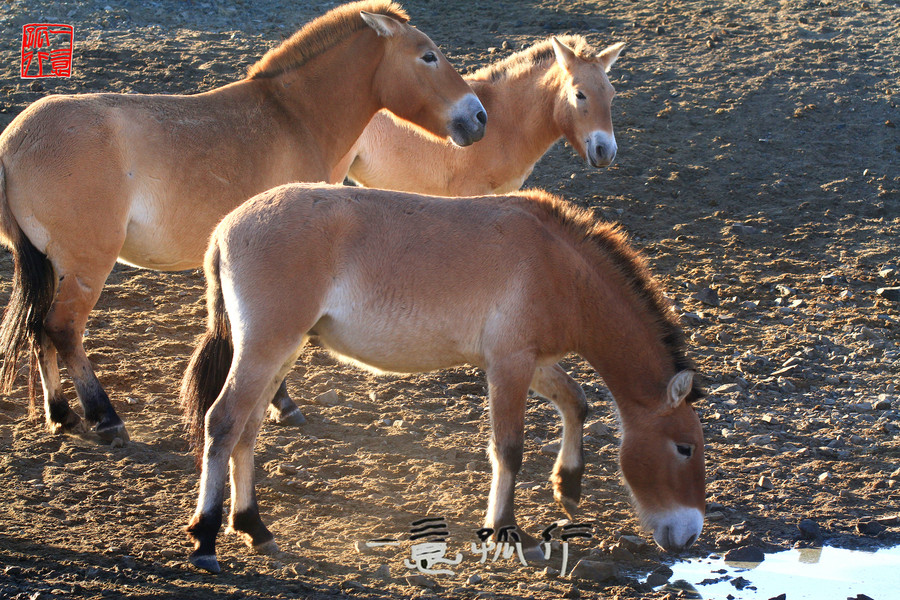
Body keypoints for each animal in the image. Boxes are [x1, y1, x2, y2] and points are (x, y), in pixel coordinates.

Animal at [0, 0, 486, 440]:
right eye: (428, 55)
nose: (478, 117)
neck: (295, 116)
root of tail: (15, 141)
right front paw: (283, 404)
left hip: (52, 264)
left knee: (38, 329)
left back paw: (61, 414)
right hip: (86, 264)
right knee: (63, 329)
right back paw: (105, 417)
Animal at [179, 182, 708, 572]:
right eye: (684, 448)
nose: (689, 535)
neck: (558, 266)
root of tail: (225, 229)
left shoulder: (531, 362)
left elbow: (576, 401)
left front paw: (569, 485)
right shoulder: (509, 364)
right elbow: (509, 449)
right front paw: (508, 532)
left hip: (280, 353)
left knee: (247, 430)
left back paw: (253, 527)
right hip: (265, 348)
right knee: (223, 423)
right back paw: (205, 539)